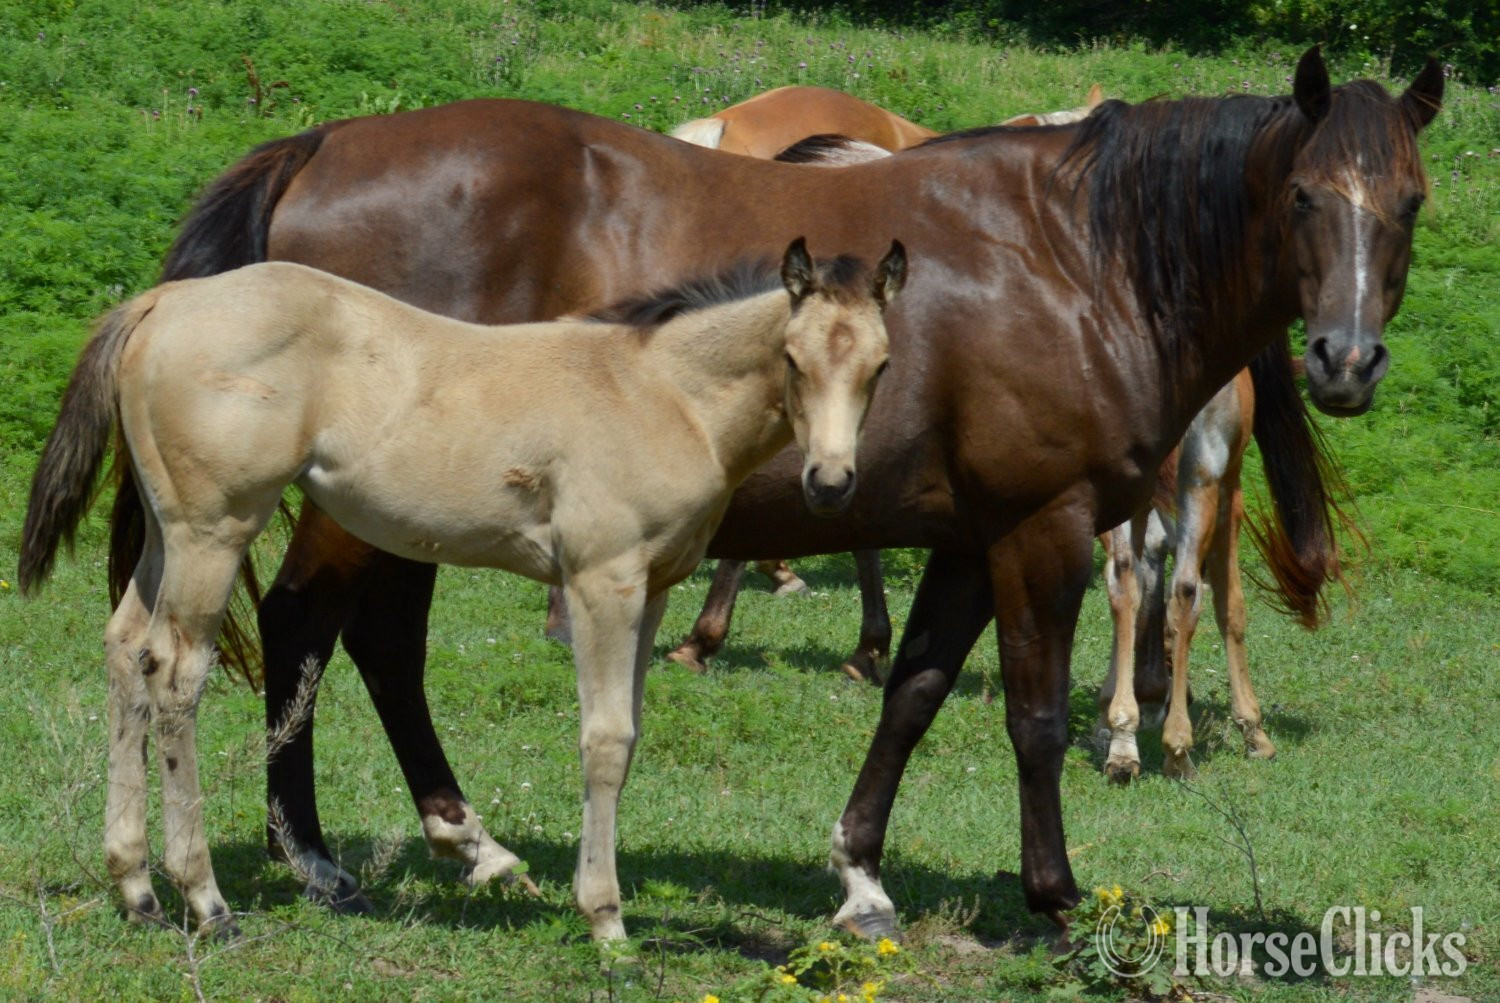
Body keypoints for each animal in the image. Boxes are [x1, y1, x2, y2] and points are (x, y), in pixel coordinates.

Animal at [19, 242, 906, 940]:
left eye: (880, 367)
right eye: (793, 359)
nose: (831, 483)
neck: (662, 392)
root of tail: (164, 299)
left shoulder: (653, 590)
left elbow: (630, 734)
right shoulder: (602, 581)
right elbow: (604, 740)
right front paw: (606, 919)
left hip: (168, 533)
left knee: (126, 649)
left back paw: (136, 889)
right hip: (215, 530)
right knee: (176, 673)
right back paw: (207, 902)